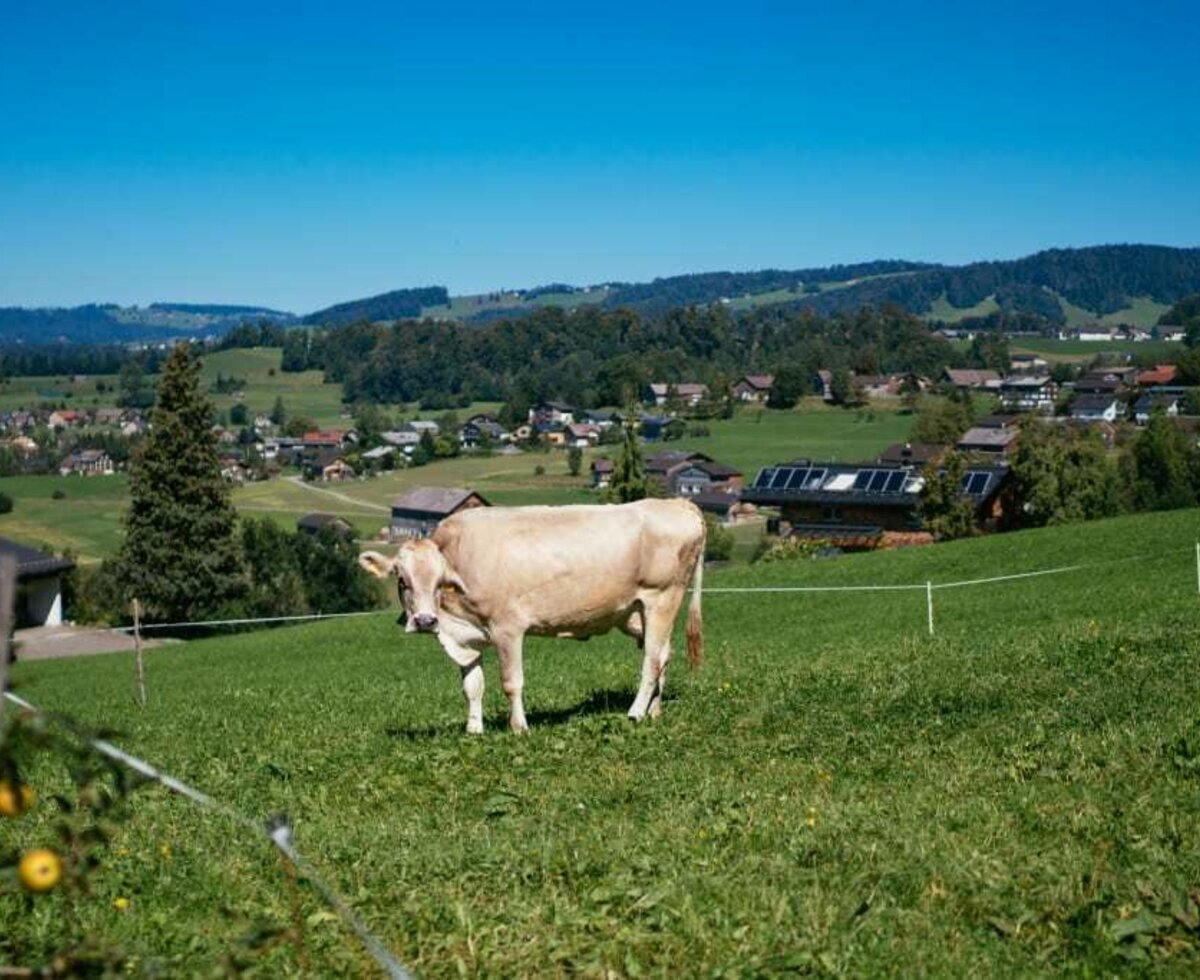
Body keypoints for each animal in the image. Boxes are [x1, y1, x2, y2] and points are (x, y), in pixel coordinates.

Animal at [357, 501, 700, 729]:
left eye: (440, 581)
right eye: (402, 580)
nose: (426, 621)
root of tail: (675, 503)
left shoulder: (507, 628)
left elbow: (511, 681)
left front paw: (519, 727)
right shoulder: (467, 635)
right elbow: (472, 686)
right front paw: (474, 730)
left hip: (662, 598)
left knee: (652, 660)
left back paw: (636, 712)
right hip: (636, 613)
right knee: (664, 654)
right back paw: (655, 711)